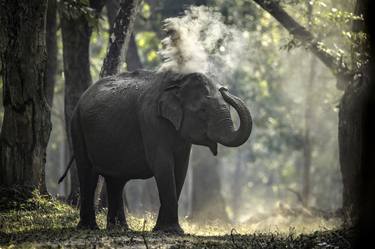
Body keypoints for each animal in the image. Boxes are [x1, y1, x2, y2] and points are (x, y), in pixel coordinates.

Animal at [69, 69, 254, 233]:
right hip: (77, 127)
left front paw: (163, 229)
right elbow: (163, 165)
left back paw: (119, 228)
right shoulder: (151, 122)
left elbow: (181, 168)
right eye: (203, 111)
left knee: (116, 181)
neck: (178, 82)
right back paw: (89, 227)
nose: (225, 89)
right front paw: (172, 230)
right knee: (87, 173)